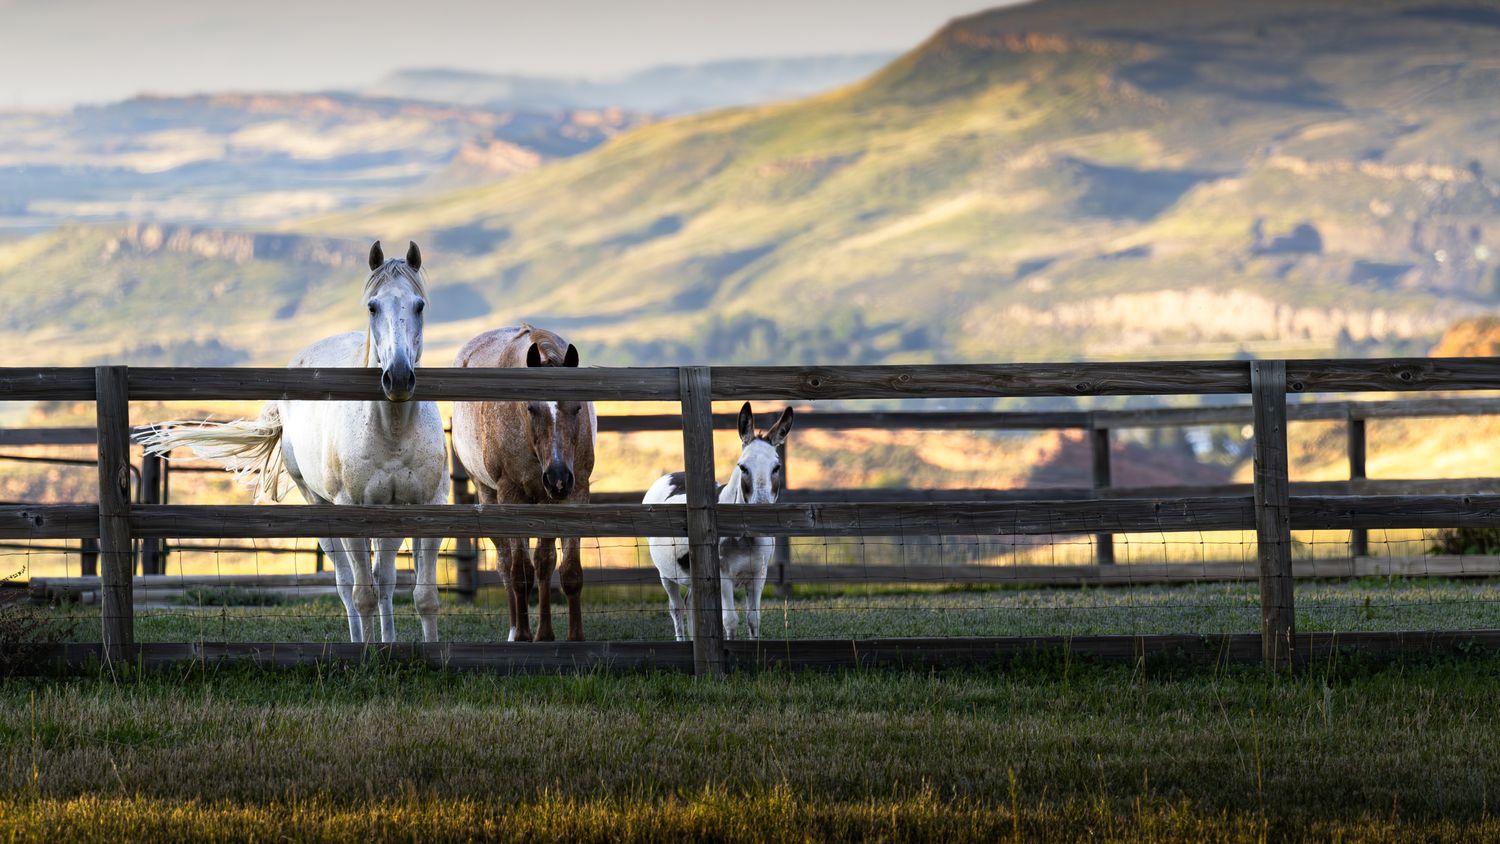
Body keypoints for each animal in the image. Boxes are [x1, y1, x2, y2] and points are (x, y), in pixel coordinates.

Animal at [139, 241, 448, 643]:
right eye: (372, 306)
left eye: (419, 305)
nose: (397, 377)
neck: (393, 430)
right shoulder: (350, 511)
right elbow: (361, 594)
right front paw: (367, 654)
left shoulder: (430, 505)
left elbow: (424, 597)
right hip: (318, 503)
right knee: (348, 584)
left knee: (384, 578)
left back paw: (390, 643)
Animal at [450, 325, 596, 642]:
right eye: (532, 408)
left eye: (577, 408)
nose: (558, 477)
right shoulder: (511, 496)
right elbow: (520, 574)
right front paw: (523, 636)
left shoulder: (575, 494)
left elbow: (568, 571)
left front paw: (573, 636)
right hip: (490, 496)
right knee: (506, 565)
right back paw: (516, 629)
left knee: (543, 563)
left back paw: (544, 633)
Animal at [643, 402, 794, 641]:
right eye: (742, 467)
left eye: (776, 468)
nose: (759, 514)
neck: (745, 538)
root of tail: (671, 474)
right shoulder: (723, 576)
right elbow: (730, 620)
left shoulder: (758, 574)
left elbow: (754, 619)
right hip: (666, 574)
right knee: (676, 608)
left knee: (691, 605)